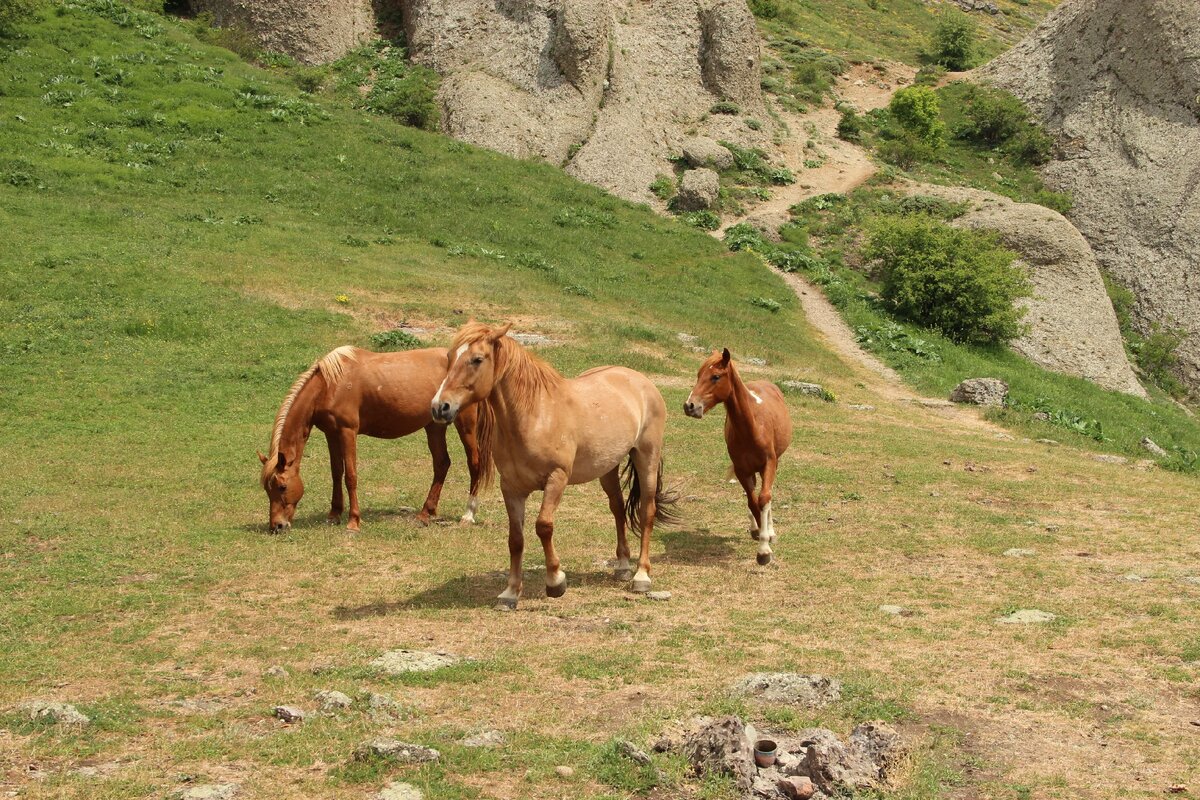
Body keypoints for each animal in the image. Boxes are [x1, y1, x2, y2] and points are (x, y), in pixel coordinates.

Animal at [256, 347, 487, 534]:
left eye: (282, 487)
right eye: (267, 488)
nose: (276, 526)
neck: (330, 385)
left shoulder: (347, 432)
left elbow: (350, 476)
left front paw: (353, 522)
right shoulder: (331, 433)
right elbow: (336, 472)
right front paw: (334, 514)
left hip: (465, 425)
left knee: (474, 463)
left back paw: (468, 515)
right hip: (434, 427)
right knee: (441, 464)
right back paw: (426, 513)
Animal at [429, 321, 676, 609]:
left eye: (477, 359)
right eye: (449, 357)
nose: (439, 407)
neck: (535, 415)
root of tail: (640, 380)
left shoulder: (556, 479)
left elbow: (543, 526)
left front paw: (555, 581)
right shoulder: (511, 487)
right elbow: (516, 539)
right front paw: (510, 592)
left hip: (646, 459)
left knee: (647, 511)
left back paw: (641, 576)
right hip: (607, 467)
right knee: (617, 508)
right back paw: (623, 566)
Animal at [686, 347, 796, 563]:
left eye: (716, 376)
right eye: (698, 374)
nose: (690, 406)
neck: (752, 426)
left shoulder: (769, 463)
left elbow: (764, 498)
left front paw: (765, 548)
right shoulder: (741, 470)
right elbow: (752, 501)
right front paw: (761, 539)